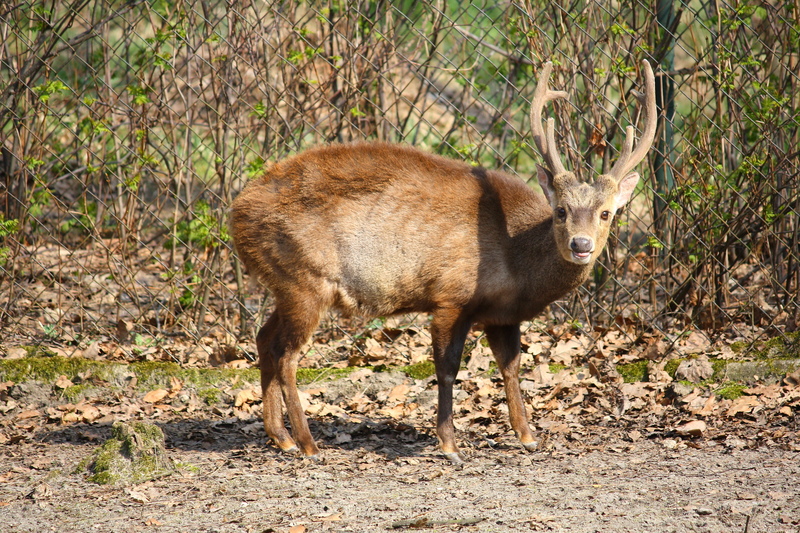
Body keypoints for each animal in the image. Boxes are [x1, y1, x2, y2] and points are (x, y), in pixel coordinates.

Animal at [231, 59, 656, 462]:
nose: (581, 244)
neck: (516, 262)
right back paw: (307, 444)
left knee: (265, 339)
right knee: (287, 355)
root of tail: (237, 212)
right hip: (305, 279)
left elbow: (511, 366)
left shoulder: (502, 314)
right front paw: (449, 443)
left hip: (285, 284)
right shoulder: (451, 296)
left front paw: (527, 436)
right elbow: (448, 368)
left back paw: (281, 438)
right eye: (561, 211)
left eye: (606, 213)